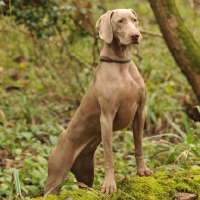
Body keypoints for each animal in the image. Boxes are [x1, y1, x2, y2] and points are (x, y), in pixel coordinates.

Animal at [44, 8, 152, 195]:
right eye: (120, 21)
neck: (121, 65)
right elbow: (109, 156)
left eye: (134, 20)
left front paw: (142, 170)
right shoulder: (107, 117)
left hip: (86, 172)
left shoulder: (139, 113)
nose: (135, 35)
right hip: (56, 175)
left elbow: (138, 146)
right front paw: (109, 184)